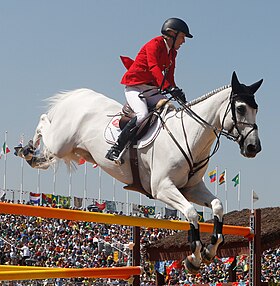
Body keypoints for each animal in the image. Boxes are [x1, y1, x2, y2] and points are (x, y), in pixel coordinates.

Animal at [17, 71, 262, 272]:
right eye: (240, 108)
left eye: (256, 109)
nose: (254, 147)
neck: (189, 135)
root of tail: (79, 95)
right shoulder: (163, 188)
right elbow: (192, 214)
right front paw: (193, 257)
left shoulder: (191, 188)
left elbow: (217, 206)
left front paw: (210, 251)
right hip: (61, 142)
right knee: (43, 123)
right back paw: (26, 149)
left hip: (70, 150)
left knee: (45, 157)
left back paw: (33, 155)